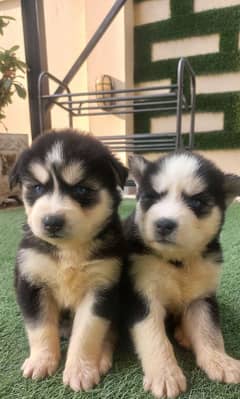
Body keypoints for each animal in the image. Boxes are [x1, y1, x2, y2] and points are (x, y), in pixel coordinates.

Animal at [9, 130, 127, 392]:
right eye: (37, 187)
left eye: (82, 190)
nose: (51, 222)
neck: (69, 251)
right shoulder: (32, 282)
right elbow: (40, 327)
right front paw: (41, 361)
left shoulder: (101, 287)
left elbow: (87, 333)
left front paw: (81, 371)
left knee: (111, 334)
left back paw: (101, 358)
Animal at [123, 152, 240, 398]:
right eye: (152, 197)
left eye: (196, 202)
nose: (164, 224)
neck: (177, 261)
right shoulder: (142, 297)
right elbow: (155, 337)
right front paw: (165, 374)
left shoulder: (202, 297)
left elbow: (209, 331)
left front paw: (220, 361)